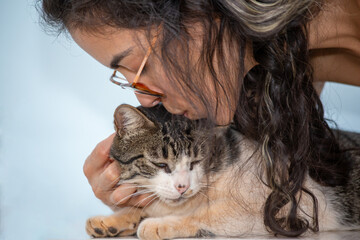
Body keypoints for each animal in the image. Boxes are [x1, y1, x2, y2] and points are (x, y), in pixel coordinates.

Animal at [86, 104, 360, 240]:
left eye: (196, 162)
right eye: (161, 165)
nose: (182, 187)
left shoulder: (281, 210)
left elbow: (204, 213)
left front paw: (158, 224)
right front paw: (114, 220)